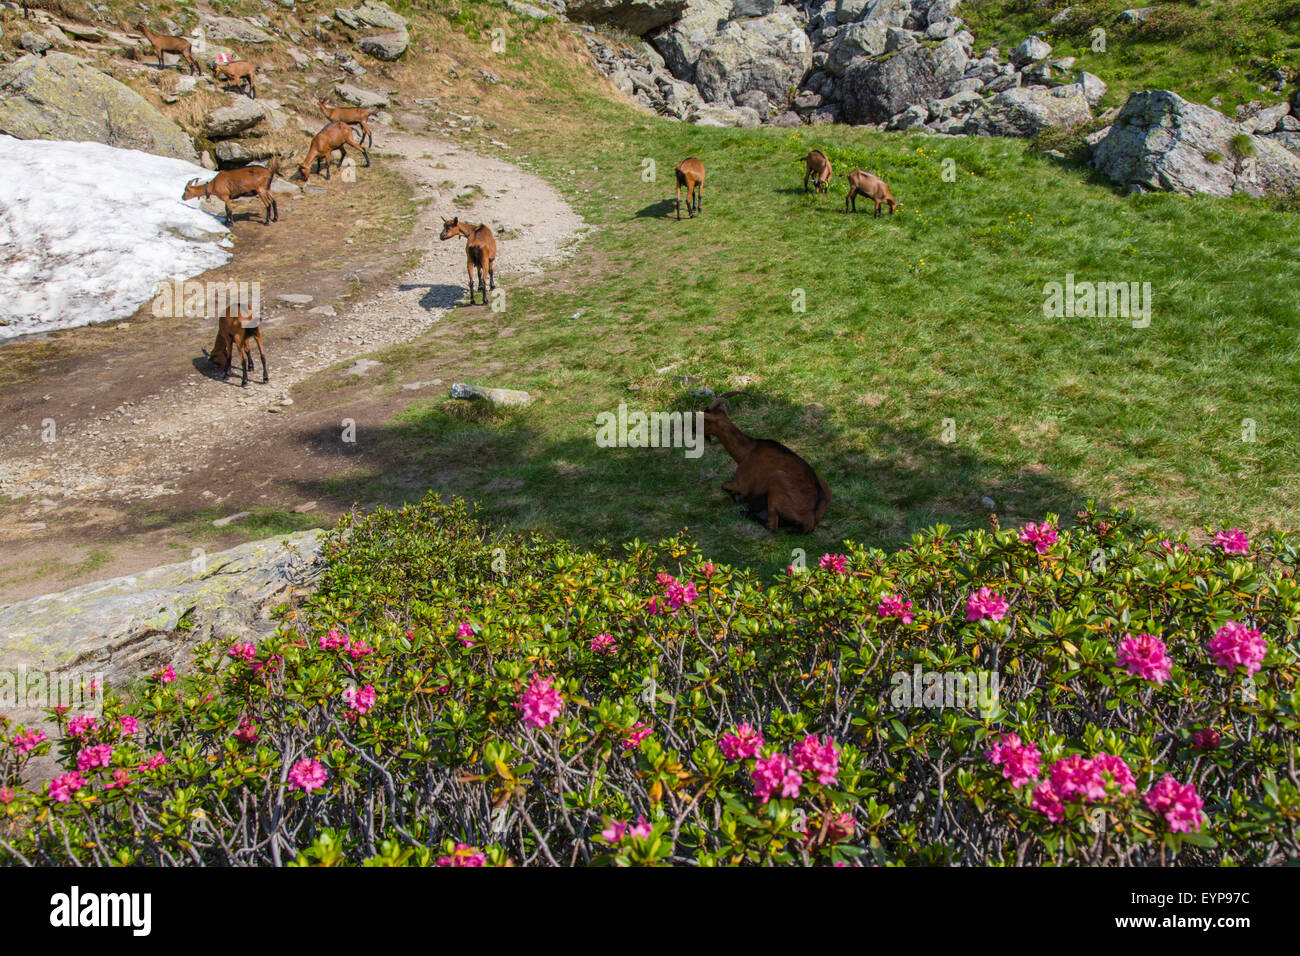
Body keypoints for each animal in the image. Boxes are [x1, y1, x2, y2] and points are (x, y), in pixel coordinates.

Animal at [702, 390, 832, 538]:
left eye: (704, 418)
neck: (747, 451)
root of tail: (810, 518)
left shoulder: (743, 484)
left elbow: (724, 486)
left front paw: (739, 497)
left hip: (776, 481)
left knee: (772, 526)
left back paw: (747, 511)